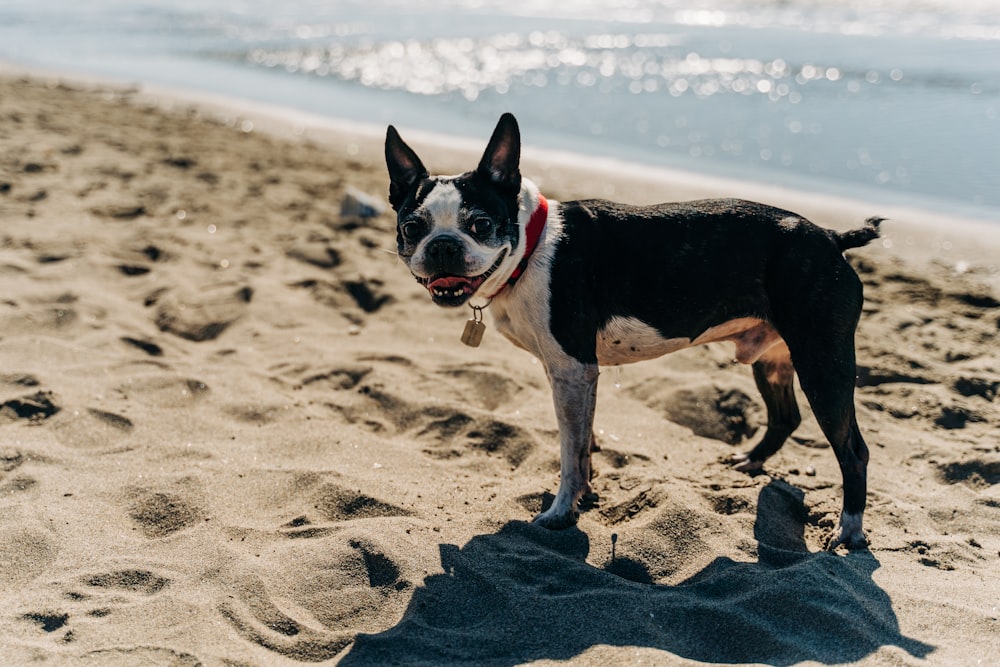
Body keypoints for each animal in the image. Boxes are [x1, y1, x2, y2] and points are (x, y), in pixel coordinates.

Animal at [382, 112, 876, 552]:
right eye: (411, 227)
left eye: (481, 225)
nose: (443, 246)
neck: (530, 248)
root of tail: (831, 236)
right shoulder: (577, 375)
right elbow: (584, 443)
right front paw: (583, 497)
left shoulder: (572, 370)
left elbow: (569, 450)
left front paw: (561, 511)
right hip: (774, 359)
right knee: (785, 416)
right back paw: (751, 460)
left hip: (822, 362)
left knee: (853, 450)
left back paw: (848, 529)